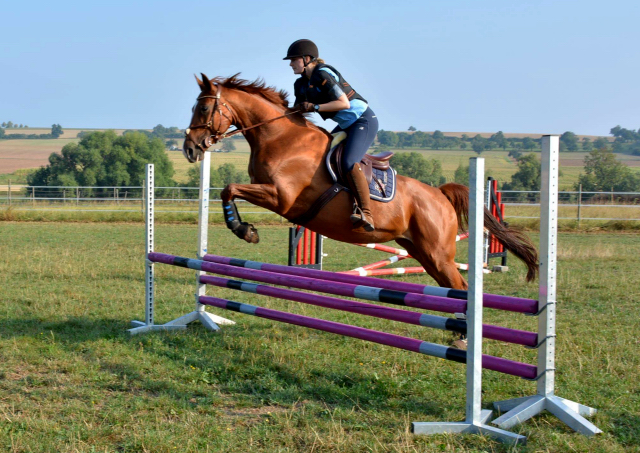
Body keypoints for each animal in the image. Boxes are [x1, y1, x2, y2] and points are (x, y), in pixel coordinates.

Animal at [182, 72, 536, 288]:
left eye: (203, 109)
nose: (190, 148)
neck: (279, 137)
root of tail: (440, 194)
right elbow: (228, 191)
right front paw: (244, 228)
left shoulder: (281, 196)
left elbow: (230, 189)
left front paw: (244, 230)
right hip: (420, 251)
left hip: (436, 252)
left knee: (459, 285)